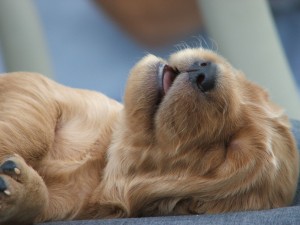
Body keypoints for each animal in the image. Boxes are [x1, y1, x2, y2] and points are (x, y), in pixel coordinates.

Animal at [0, 47, 298, 223]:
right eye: (248, 87)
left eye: (227, 150)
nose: (206, 72)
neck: (102, 162)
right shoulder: (41, 88)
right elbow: (33, 125)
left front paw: (18, 189)